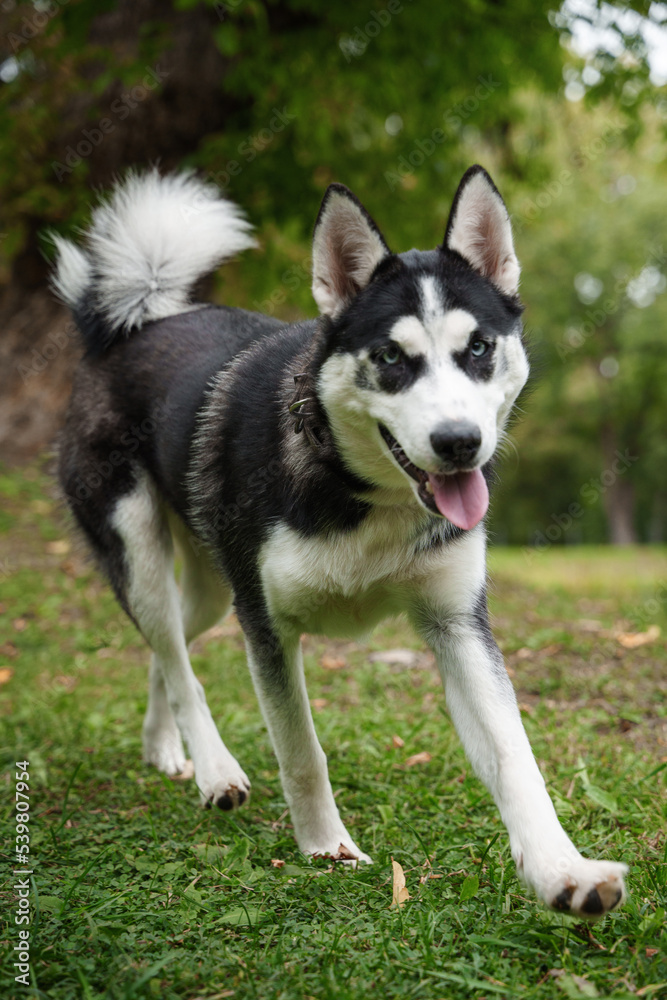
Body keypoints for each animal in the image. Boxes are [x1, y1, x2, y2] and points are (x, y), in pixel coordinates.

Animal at [52, 162, 628, 916]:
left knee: (167, 646)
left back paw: (165, 750)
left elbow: (514, 757)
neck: (363, 493)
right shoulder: (266, 625)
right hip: (143, 550)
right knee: (176, 659)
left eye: (478, 348)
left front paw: (564, 871)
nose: (459, 443)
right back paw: (213, 768)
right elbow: (301, 752)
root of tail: (130, 325)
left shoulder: (456, 624)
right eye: (389, 357)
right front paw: (326, 849)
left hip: (212, 587)